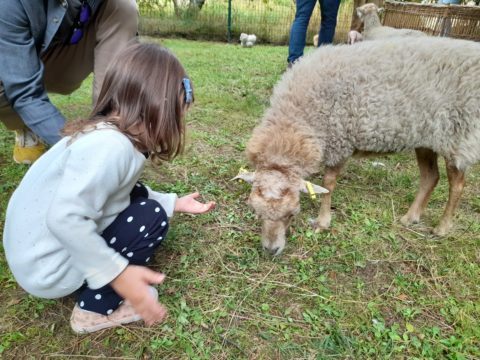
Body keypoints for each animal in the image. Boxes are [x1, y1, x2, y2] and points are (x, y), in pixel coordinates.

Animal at [236, 35, 480, 256]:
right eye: (256, 212)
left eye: (292, 213)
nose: (271, 251)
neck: (299, 118)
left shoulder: (339, 141)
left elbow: (329, 183)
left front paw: (322, 221)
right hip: (427, 137)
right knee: (430, 177)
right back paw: (410, 218)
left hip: (458, 135)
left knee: (457, 184)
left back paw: (442, 227)